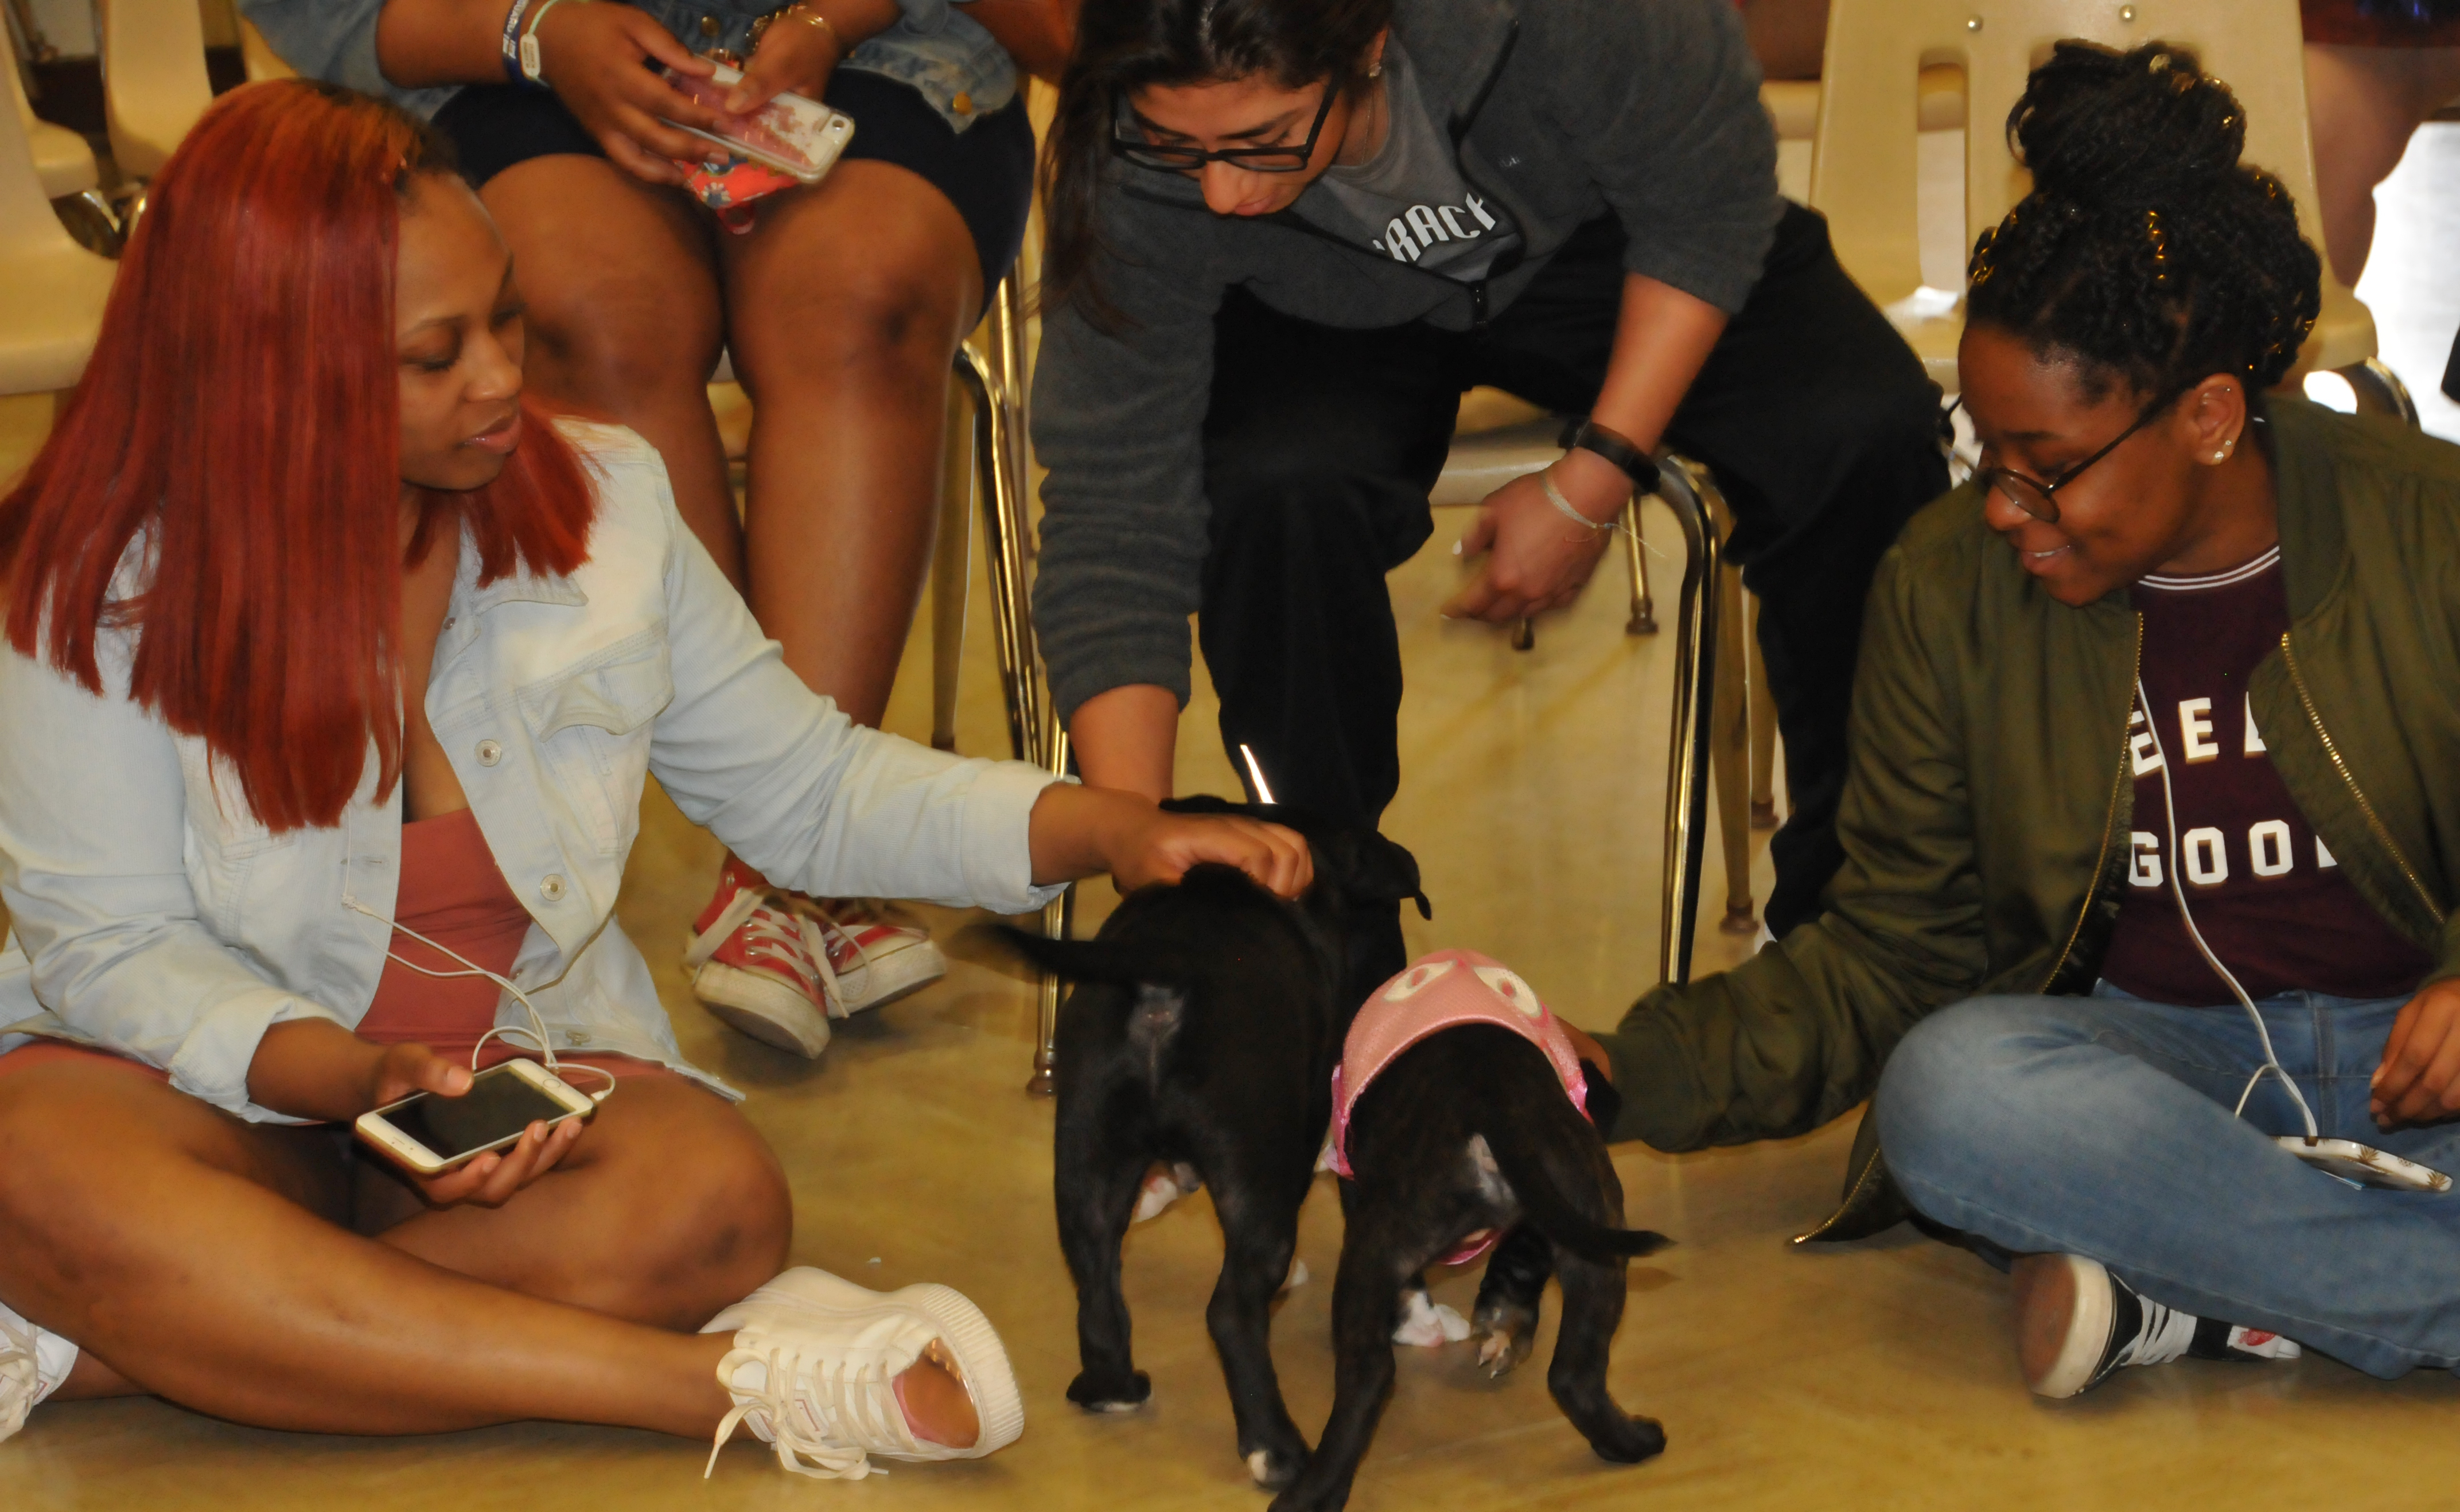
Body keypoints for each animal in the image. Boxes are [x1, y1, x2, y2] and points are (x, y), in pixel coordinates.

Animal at [994, 796, 1437, 1494]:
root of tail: (1163, 969)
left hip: (1088, 1157)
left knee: (1096, 1278)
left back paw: (1111, 1387)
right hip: (1252, 1177)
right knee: (1231, 1310)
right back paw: (1275, 1449)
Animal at [1289, 1018, 1672, 1512]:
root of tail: (1498, 1104)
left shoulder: (1355, 1189)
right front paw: (1503, 1325)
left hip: (1374, 1247)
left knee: (1367, 1377)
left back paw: (1309, 1493)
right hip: (1598, 1238)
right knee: (1575, 1376)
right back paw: (1632, 1443)